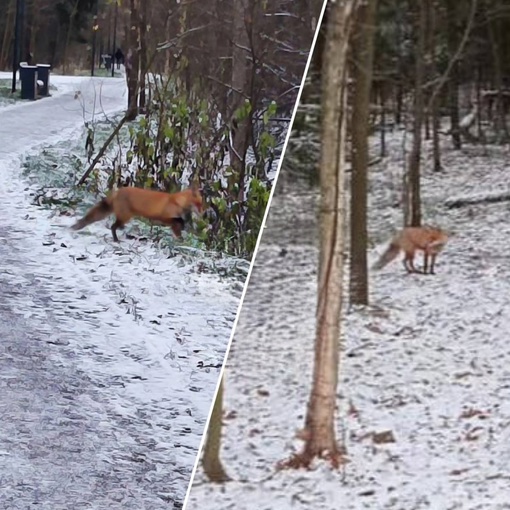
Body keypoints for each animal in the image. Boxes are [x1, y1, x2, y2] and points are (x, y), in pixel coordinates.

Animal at [71, 185, 203, 243]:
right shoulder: (164, 218)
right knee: (113, 227)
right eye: (199, 204)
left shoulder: (170, 221)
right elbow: (179, 221)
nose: (203, 212)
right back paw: (116, 240)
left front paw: (181, 240)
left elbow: (179, 226)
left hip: (124, 216)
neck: (176, 202)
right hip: (125, 216)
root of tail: (117, 191)